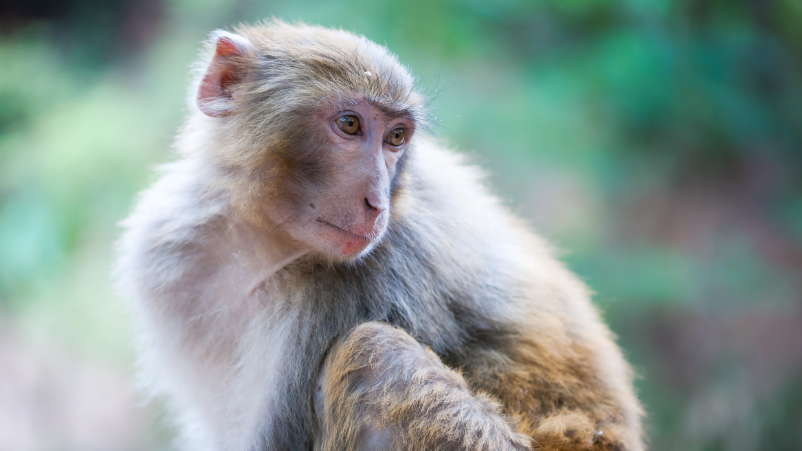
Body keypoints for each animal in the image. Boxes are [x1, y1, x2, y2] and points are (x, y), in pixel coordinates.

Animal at [115, 20, 640, 451]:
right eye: (349, 125)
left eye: (396, 138)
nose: (378, 203)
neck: (261, 241)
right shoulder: (167, 253)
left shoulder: (360, 285)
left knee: (376, 356)